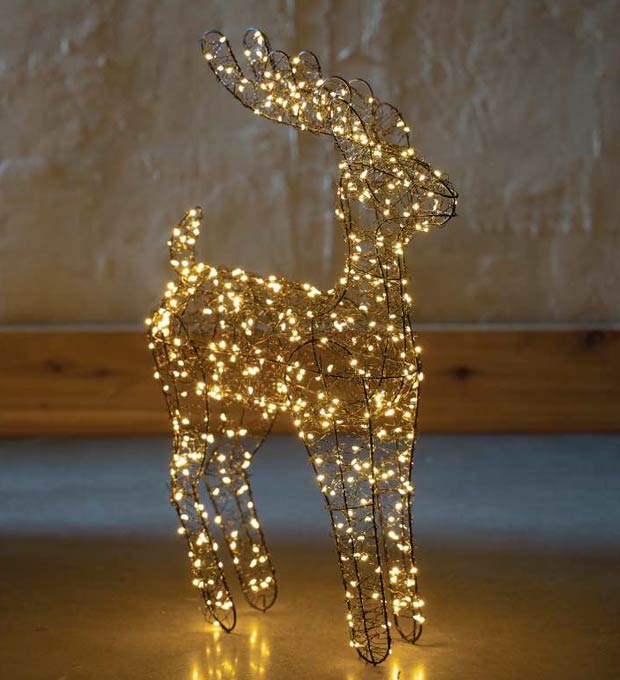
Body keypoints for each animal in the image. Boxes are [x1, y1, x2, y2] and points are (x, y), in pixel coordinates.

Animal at [146, 27, 457, 665]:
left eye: (417, 157)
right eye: (385, 172)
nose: (448, 197)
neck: (365, 322)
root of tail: (181, 276)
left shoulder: (399, 423)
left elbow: (395, 513)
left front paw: (409, 628)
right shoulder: (329, 424)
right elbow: (354, 521)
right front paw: (371, 643)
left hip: (245, 411)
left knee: (224, 468)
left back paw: (260, 589)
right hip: (189, 402)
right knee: (180, 476)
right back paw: (222, 608)